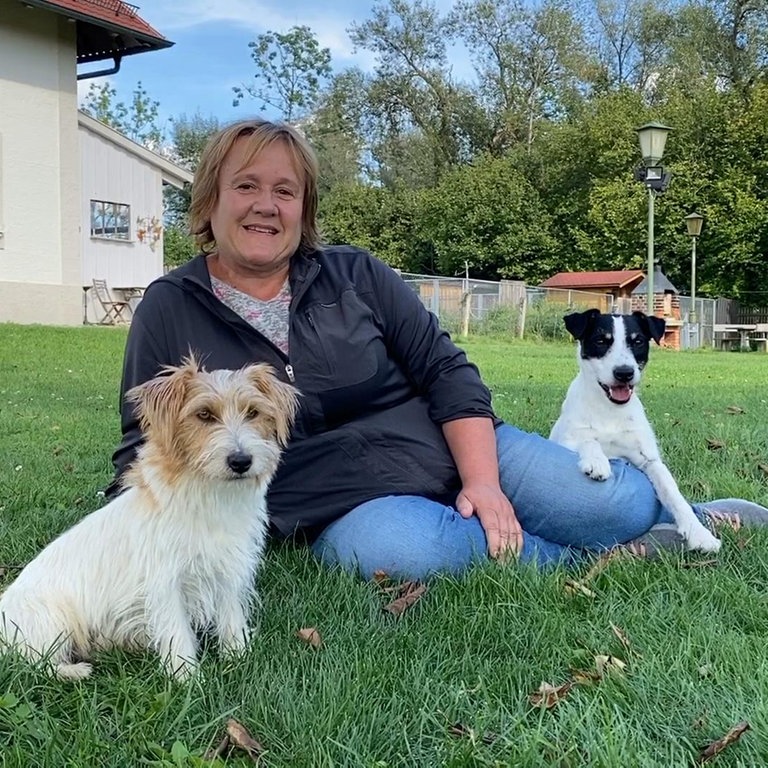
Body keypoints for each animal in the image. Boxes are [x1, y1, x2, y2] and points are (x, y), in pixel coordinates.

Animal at [0, 356, 296, 680]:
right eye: (204, 414)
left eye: (253, 412)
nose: (241, 461)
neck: (210, 496)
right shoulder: (165, 582)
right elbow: (177, 631)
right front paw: (187, 677)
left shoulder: (229, 569)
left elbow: (231, 616)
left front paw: (238, 655)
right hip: (52, 618)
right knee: (35, 663)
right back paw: (75, 670)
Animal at [552, 308, 720, 556]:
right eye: (601, 340)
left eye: (638, 341)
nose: (624, 373)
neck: (609, 409)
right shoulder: (566, 441)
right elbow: (589, 441)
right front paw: (597, 462)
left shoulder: (649, 460)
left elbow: (673, 493)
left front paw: (699, 533)